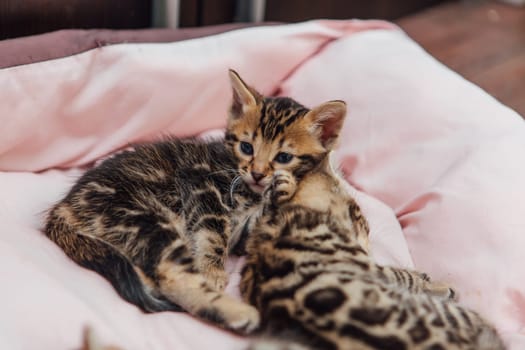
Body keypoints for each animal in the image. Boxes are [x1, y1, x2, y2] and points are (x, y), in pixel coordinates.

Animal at [44, 69, 348, 334]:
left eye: (284, 157)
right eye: (246, 147)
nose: (258, 173)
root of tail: (64, 208)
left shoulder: (246, 233)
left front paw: (283, 189)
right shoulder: (201, 183)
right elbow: (214, 232)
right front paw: (212, 271)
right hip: (145, 217)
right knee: (173, 275)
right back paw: (238, 313)